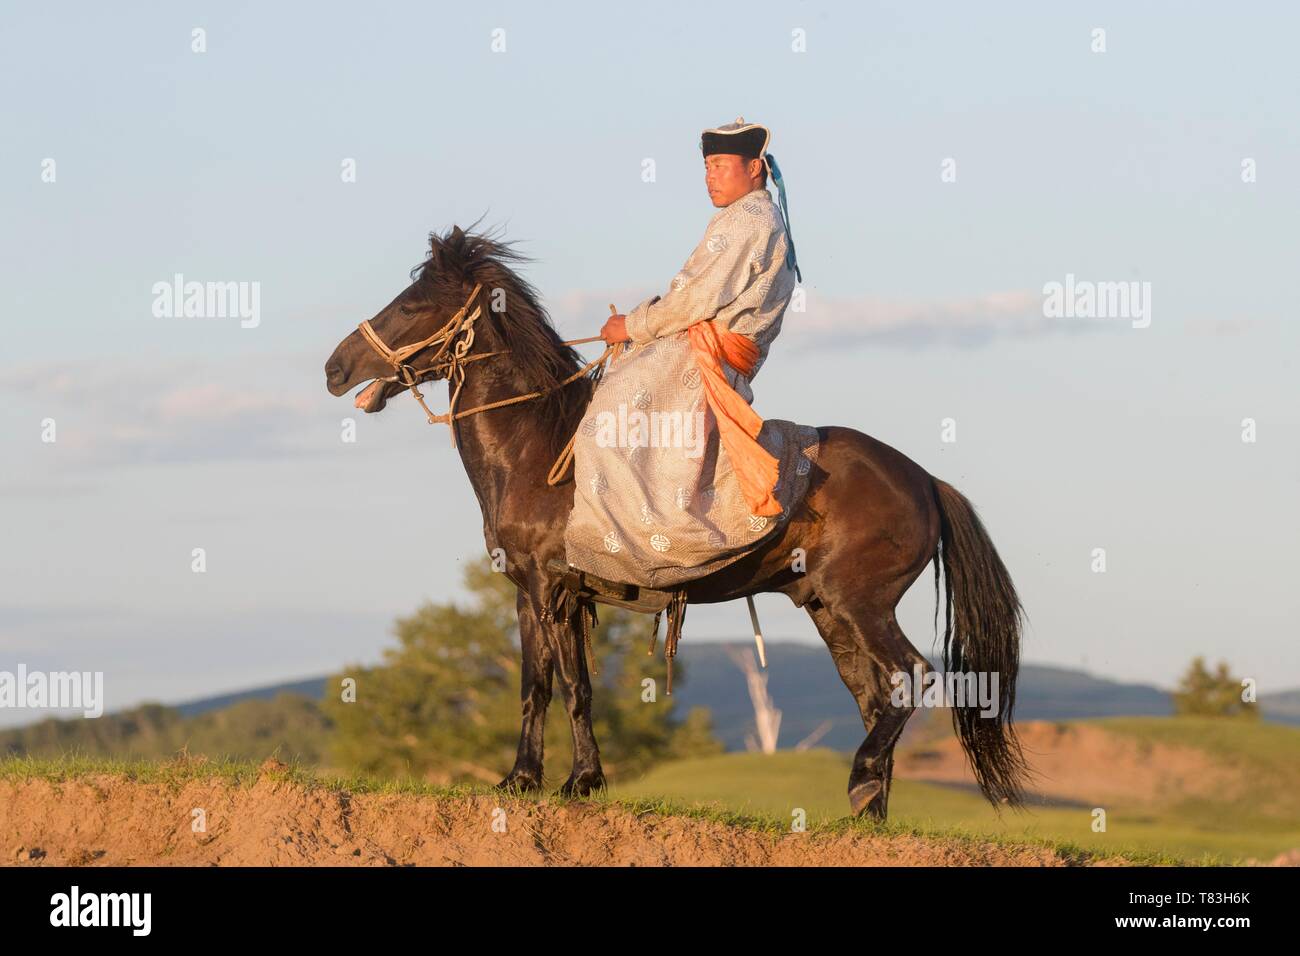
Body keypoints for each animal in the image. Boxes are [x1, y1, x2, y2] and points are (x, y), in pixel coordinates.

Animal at [324, 225, 1029, 819]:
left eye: (412, 305)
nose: (335, 369)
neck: (537, 448)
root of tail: (925, 480)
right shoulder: (529, 593)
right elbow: (536, 685)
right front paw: (521, 780)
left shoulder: (557, 588)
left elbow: (576, 685)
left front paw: (582, 781)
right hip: (830, 609)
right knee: (875, 697)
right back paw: (866, 811)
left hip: (861, 603)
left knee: (913, 677)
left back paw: (861, 782)